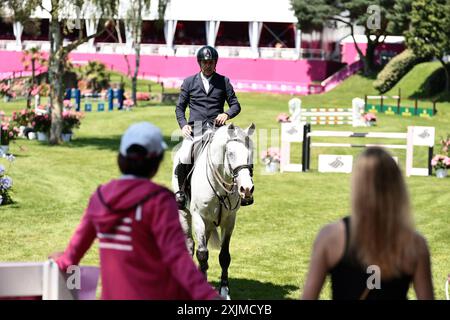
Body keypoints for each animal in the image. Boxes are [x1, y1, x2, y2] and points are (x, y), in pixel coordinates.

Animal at [172, 123, 255, 300]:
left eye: (250, 153)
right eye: (230, 153)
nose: (246, 189)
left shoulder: (229, 221)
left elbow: (224, 256)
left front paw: (224, 292)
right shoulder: (198, 217)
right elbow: (202, 254)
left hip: (209, 224)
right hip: (185, 214)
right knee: (190, 245)